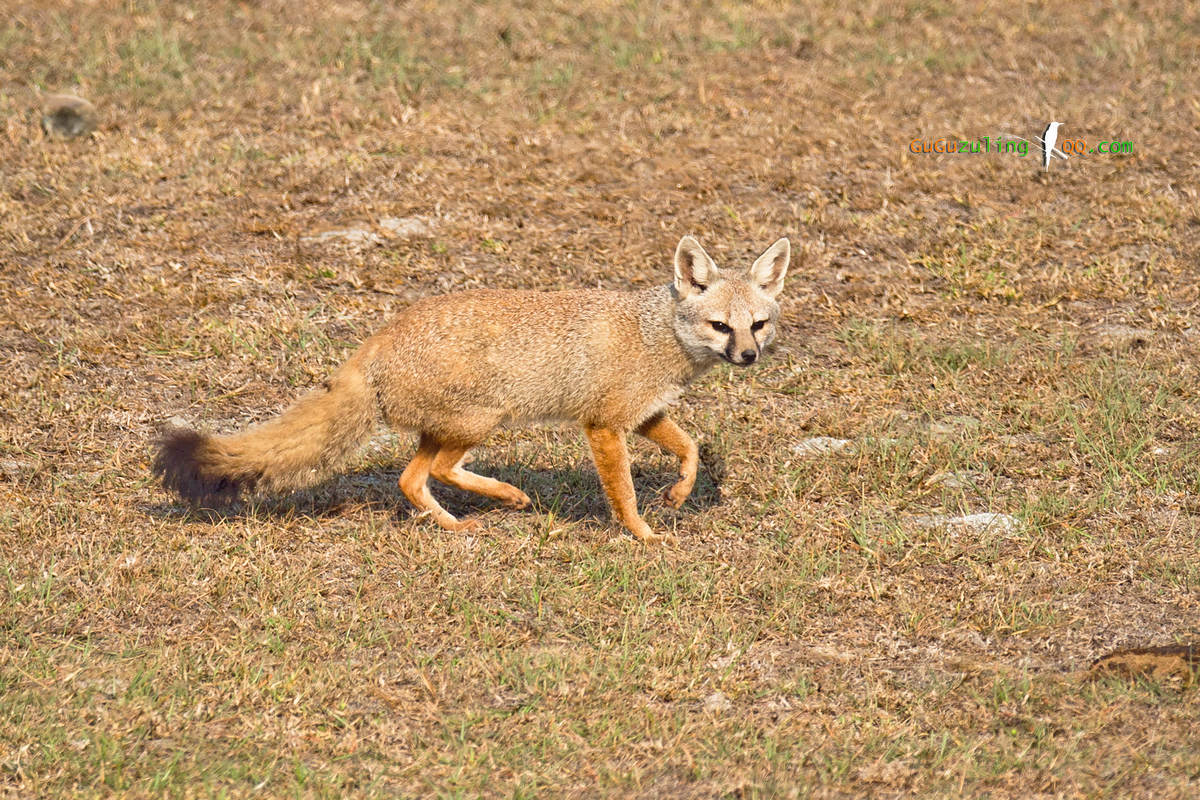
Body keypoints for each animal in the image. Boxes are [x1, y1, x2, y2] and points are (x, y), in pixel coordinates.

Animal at [152, 232, 787, 544]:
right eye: (720, 326)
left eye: (758, 323)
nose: (749, 357)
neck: (656, 335)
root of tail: (379, 339)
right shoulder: (605, 425)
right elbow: (624, 495)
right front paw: (643, 536)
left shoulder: (644, 415)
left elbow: (691, 450)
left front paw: (678, 495)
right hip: (482, 420)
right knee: (435, 471)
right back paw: (508, 497)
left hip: (446, 428)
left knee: (411, 479)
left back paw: (457, 525)